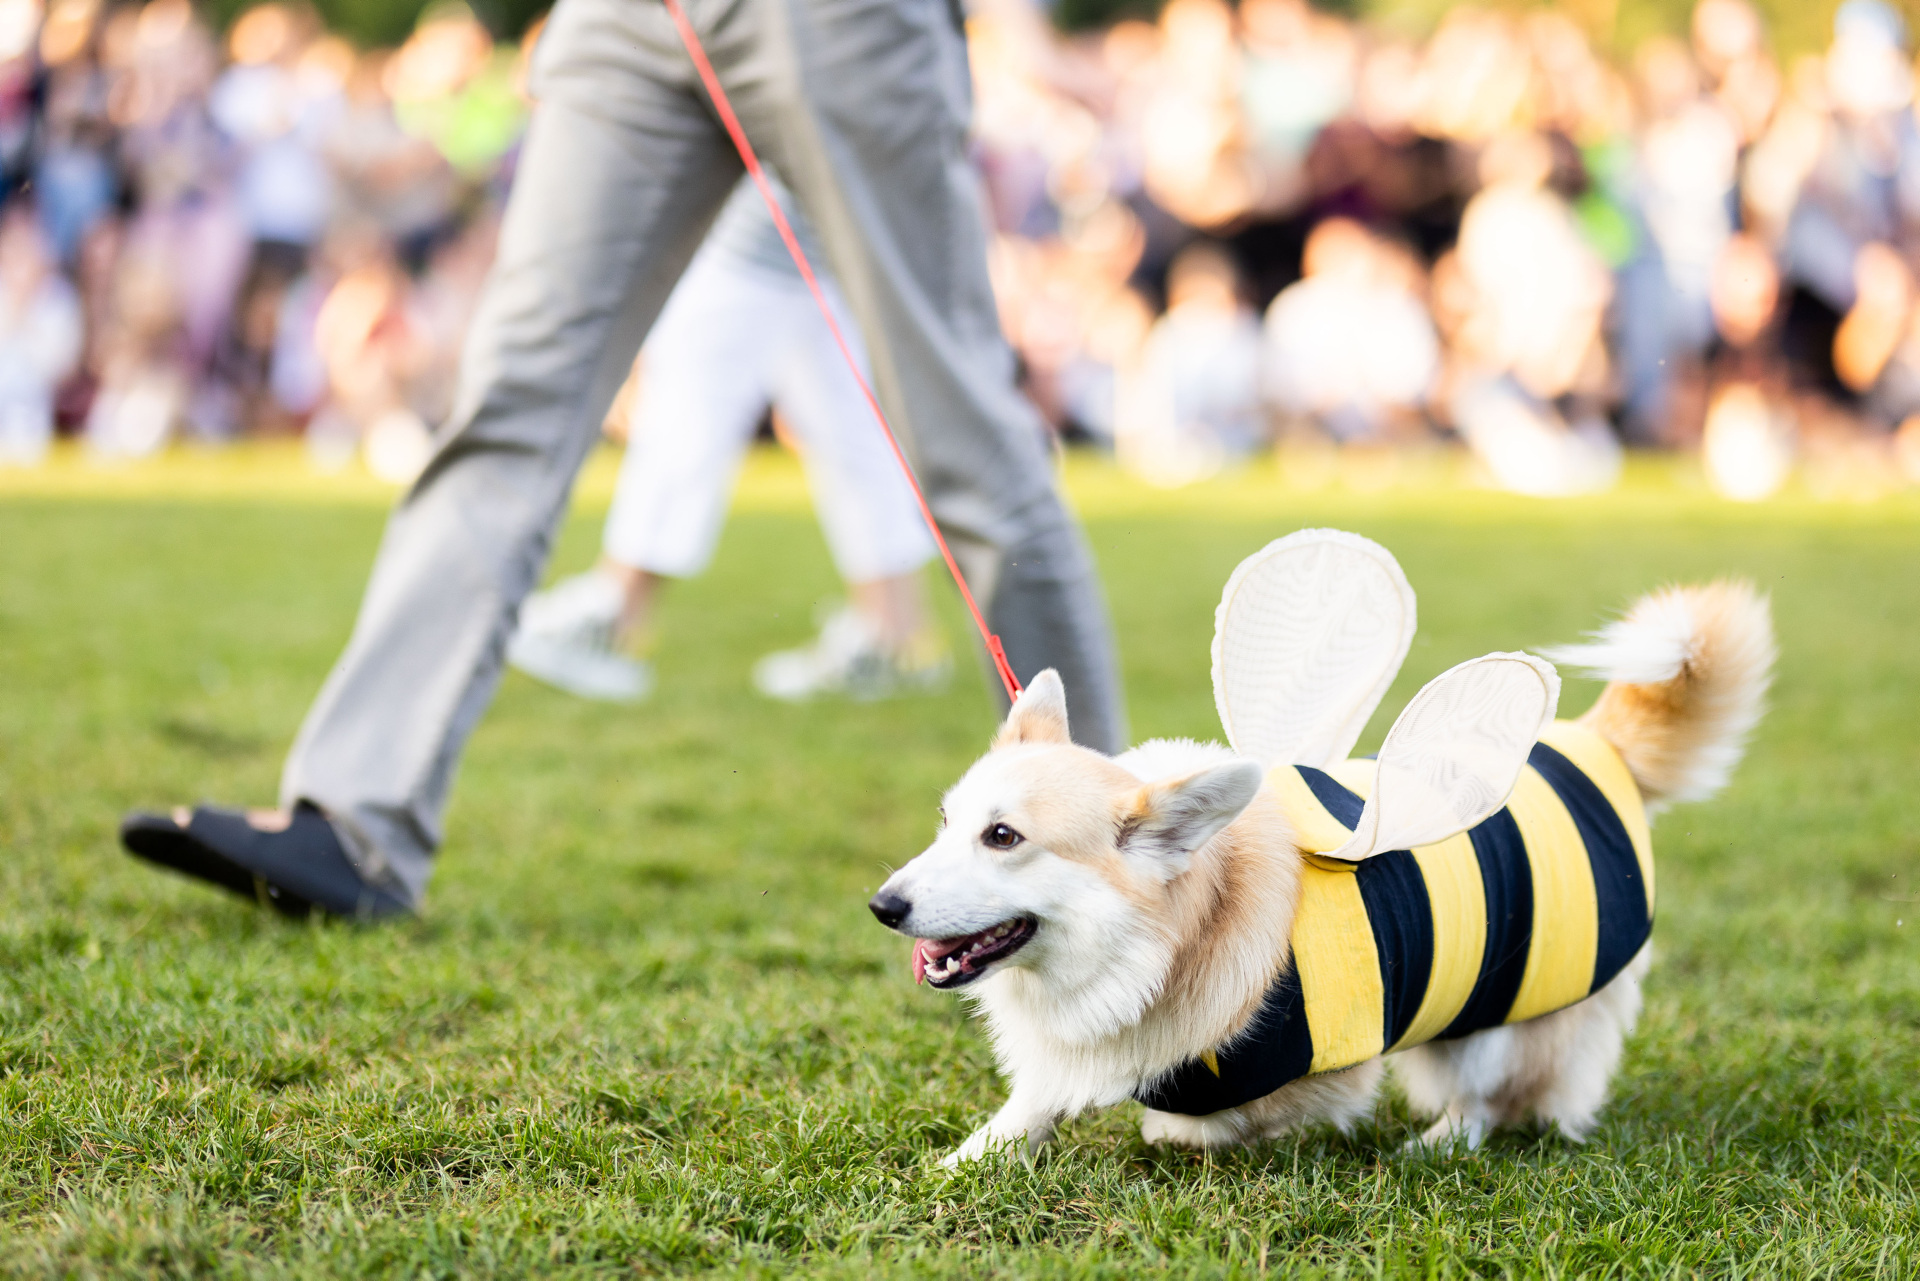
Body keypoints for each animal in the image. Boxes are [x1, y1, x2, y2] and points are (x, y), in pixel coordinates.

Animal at [871, 560, 1766, 1160]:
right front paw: (964, 1164)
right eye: (947, 821)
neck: (1161, 944)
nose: (883, 906)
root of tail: (1595, 742)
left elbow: (1190, 1125)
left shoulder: (1312, 1071)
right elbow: (1024, 1113)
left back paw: (1434, 1144)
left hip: (1503, 1015)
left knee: (1494, 1099)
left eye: (1004, 837)